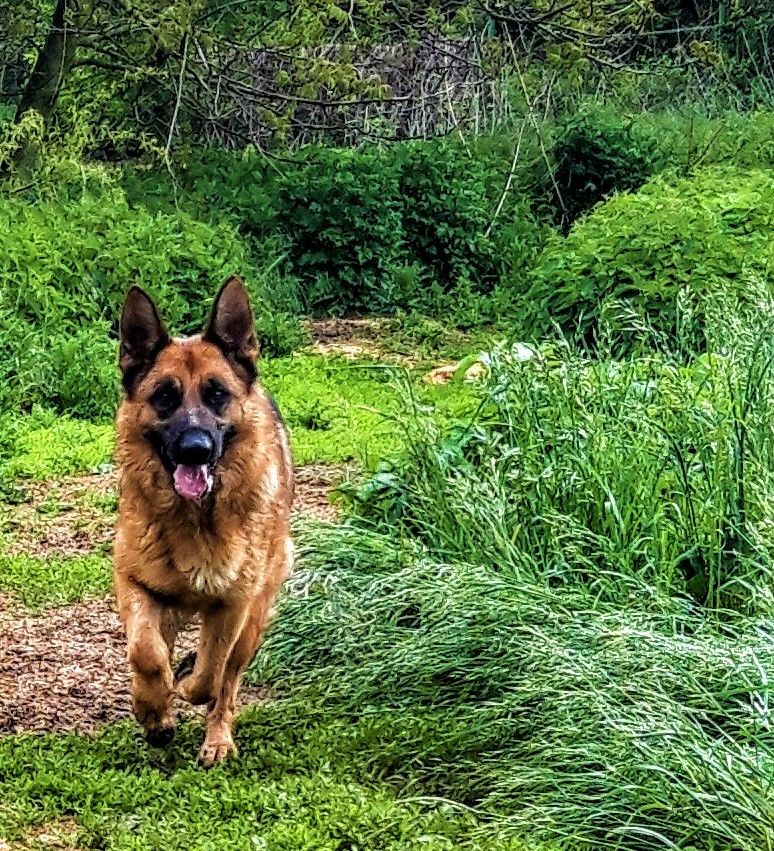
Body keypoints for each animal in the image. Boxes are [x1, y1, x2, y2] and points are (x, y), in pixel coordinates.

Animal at [114, 278, 294, 764]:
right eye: (164, 397)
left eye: (217, 394)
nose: (195, 449)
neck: (194, 519)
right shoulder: (133, 583)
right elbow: (146, 653)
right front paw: (152, 711)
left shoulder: (233, 604)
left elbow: (210, 675)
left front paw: (185, 684)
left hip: (255, 618)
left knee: (227, 684)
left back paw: (217, 739)